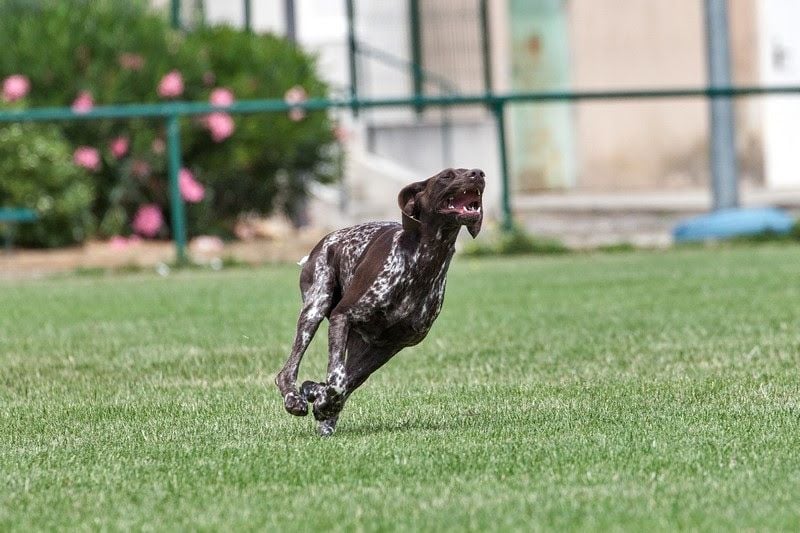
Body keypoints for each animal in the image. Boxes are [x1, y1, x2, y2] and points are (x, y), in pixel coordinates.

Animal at [276, 168, 488, 434]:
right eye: (446, 176)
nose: (479, 174)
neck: (424, 261)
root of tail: (323, 242)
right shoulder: (342, 316)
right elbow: (337, 380)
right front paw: (319, 398)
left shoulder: (390, 344)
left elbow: (346, 381)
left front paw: (321, 399)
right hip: (315, 309)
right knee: (287, 370)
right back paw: (294, 398)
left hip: (358, 340)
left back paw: (323, 414)